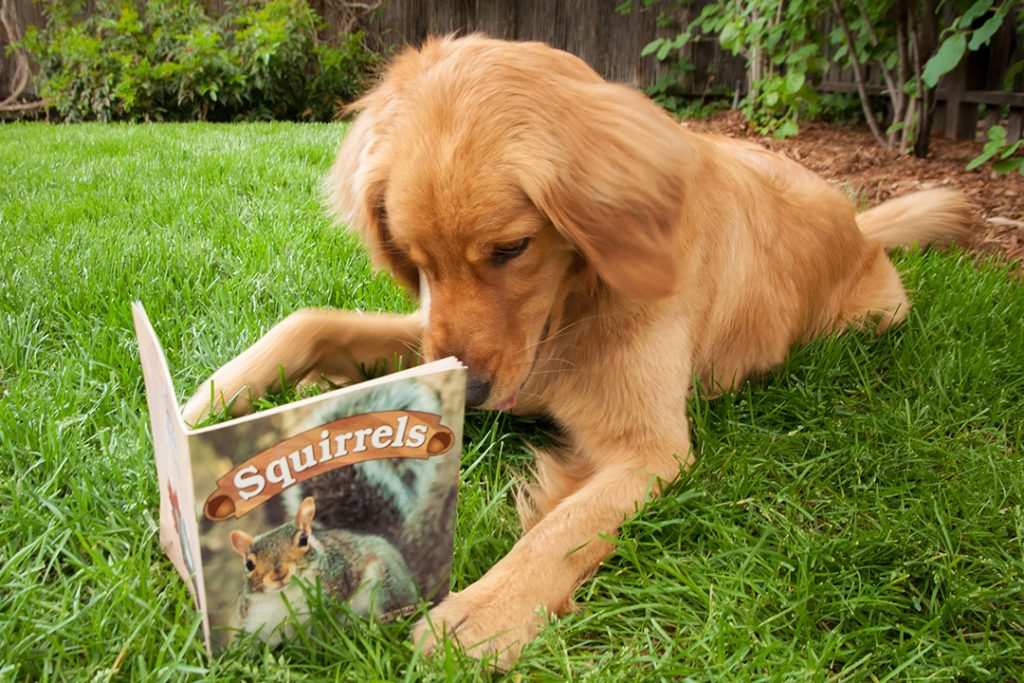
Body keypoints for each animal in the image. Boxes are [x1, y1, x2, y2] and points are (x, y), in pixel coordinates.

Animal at [229, 496, 416, 644]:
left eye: (303, 539)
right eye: (249, 564)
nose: (278, 573)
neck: (286, 594)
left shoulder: (332, 587)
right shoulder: (256, 622)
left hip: (383, 585)